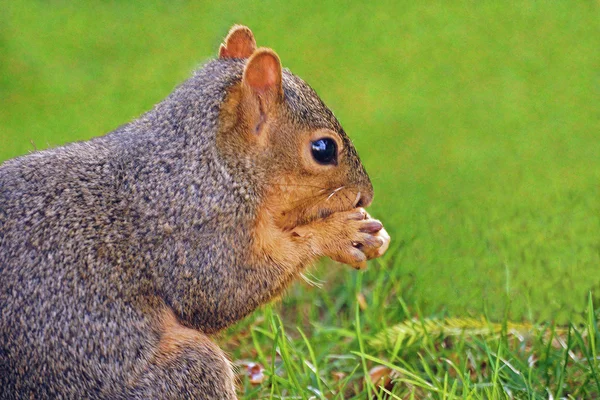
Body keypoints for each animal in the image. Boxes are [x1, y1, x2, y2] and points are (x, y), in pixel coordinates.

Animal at [0, 26, 392, 398]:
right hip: (189, 369)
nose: (367, 195)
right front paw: (340, 234)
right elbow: (225, 291)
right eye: (323, 148)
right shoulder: (197, 237)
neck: (208, 167)